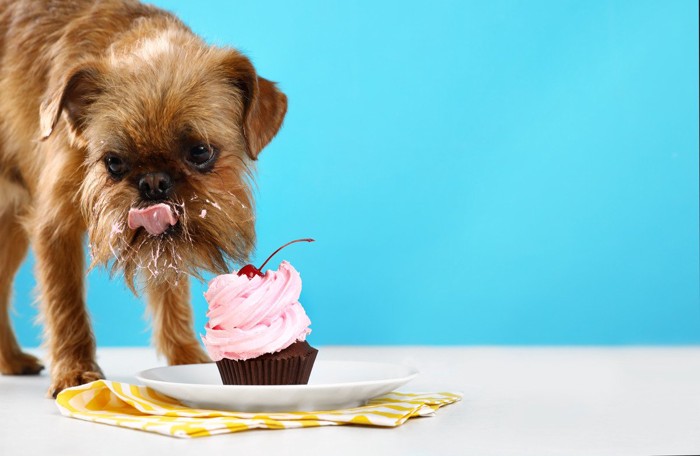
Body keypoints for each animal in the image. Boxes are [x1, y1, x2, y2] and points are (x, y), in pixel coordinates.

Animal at [0, 0, 288, 396]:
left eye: (200, 152)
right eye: (113, 162)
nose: (153, 182)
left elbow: (172, 296)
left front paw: (187, 360)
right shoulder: (55, 227)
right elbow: (65, 303)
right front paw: (75, 373)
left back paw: (11, 359)